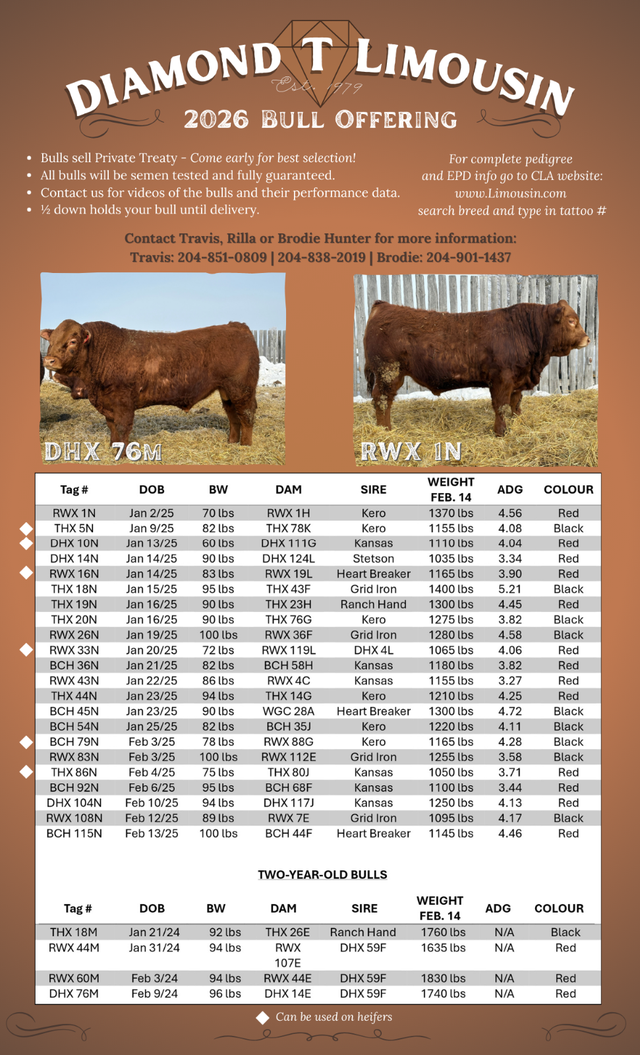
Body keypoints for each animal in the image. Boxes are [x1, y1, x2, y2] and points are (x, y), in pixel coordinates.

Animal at [41, 319, 259, 448]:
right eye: (51, 340)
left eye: (73, 341)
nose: (49, 360)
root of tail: (237, 325)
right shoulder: (108, 403)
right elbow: (112, 427)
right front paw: (113, 448)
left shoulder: (123, 402)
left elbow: (122, 427)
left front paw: (122, 453)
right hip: (226, 391)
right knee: (233, 416)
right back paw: (231, 442)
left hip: (241, 388)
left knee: (246, 415)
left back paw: (245, 446)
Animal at [363, 299, 590, 436]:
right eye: (572, 320)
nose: (587, 339)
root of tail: (383, 305)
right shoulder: (501, 379)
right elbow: (501, 406)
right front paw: (500, 432)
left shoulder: (518, 379)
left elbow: (516, 403)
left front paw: (517, 421)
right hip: (388, 372)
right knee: (381, 400)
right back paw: (385, 430)